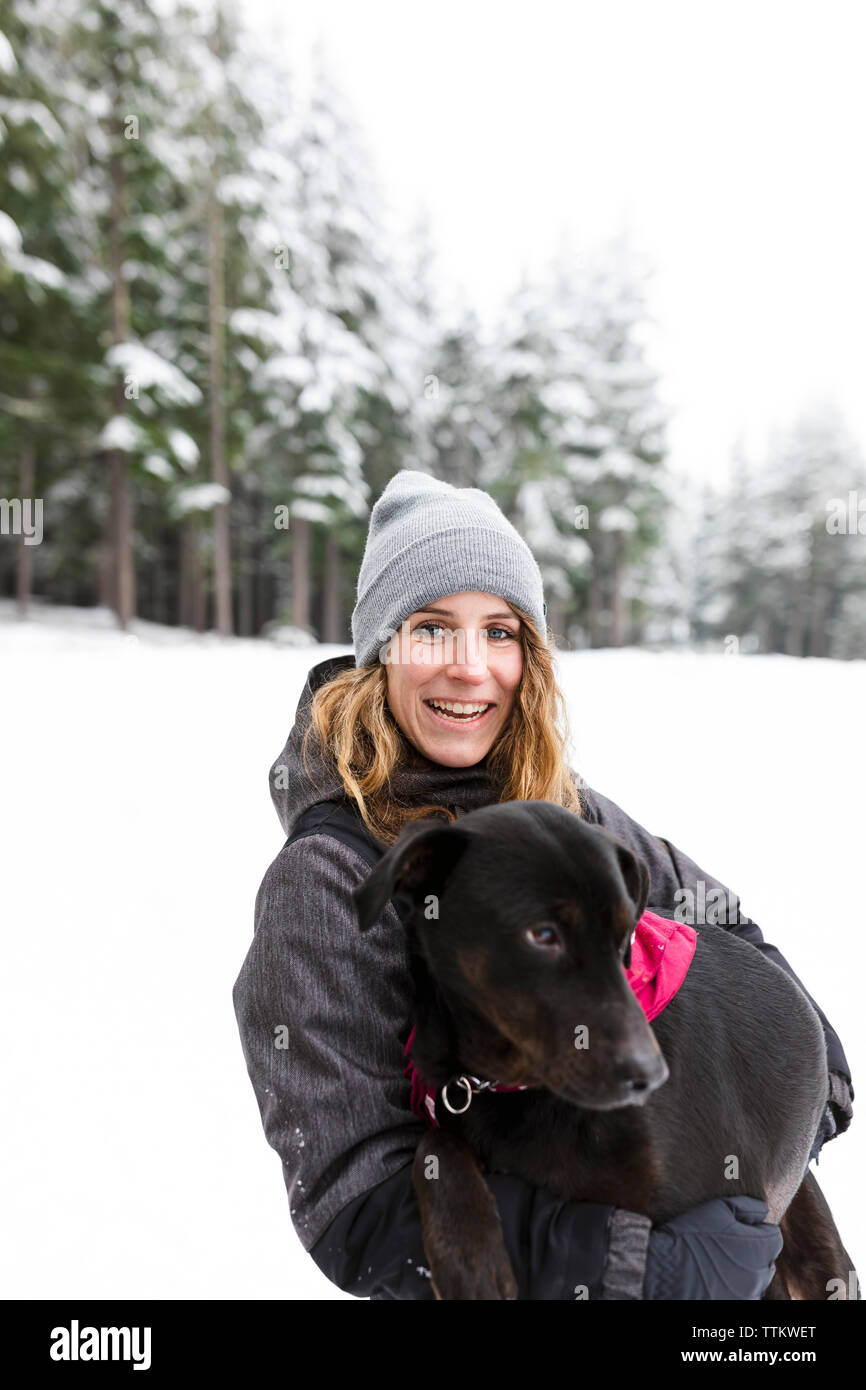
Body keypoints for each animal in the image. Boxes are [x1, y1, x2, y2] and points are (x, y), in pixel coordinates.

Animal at [350, 800, 856, 1295]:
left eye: (625, 936)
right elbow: (434, 1146)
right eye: (542, 935)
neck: (510, 1085)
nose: (650, 1075)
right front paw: (469, 1257)